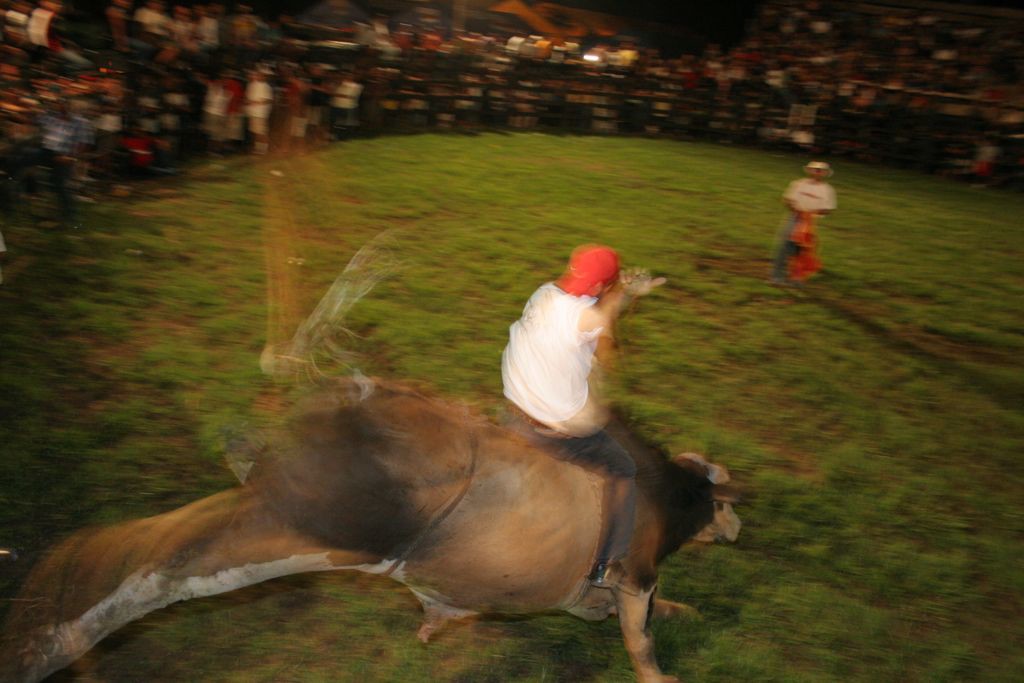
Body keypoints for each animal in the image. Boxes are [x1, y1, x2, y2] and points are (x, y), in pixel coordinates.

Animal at [0, 378, 737, 683]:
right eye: (728, 500)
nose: (736, 526)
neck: (664, 489)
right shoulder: (633, 569)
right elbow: (638, 632)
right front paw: (661, 669)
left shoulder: (586, 589)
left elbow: (611, 613)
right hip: (289, 532)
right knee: (153, 572)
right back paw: (43, 643)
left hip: (277, 517)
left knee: (146, 544)